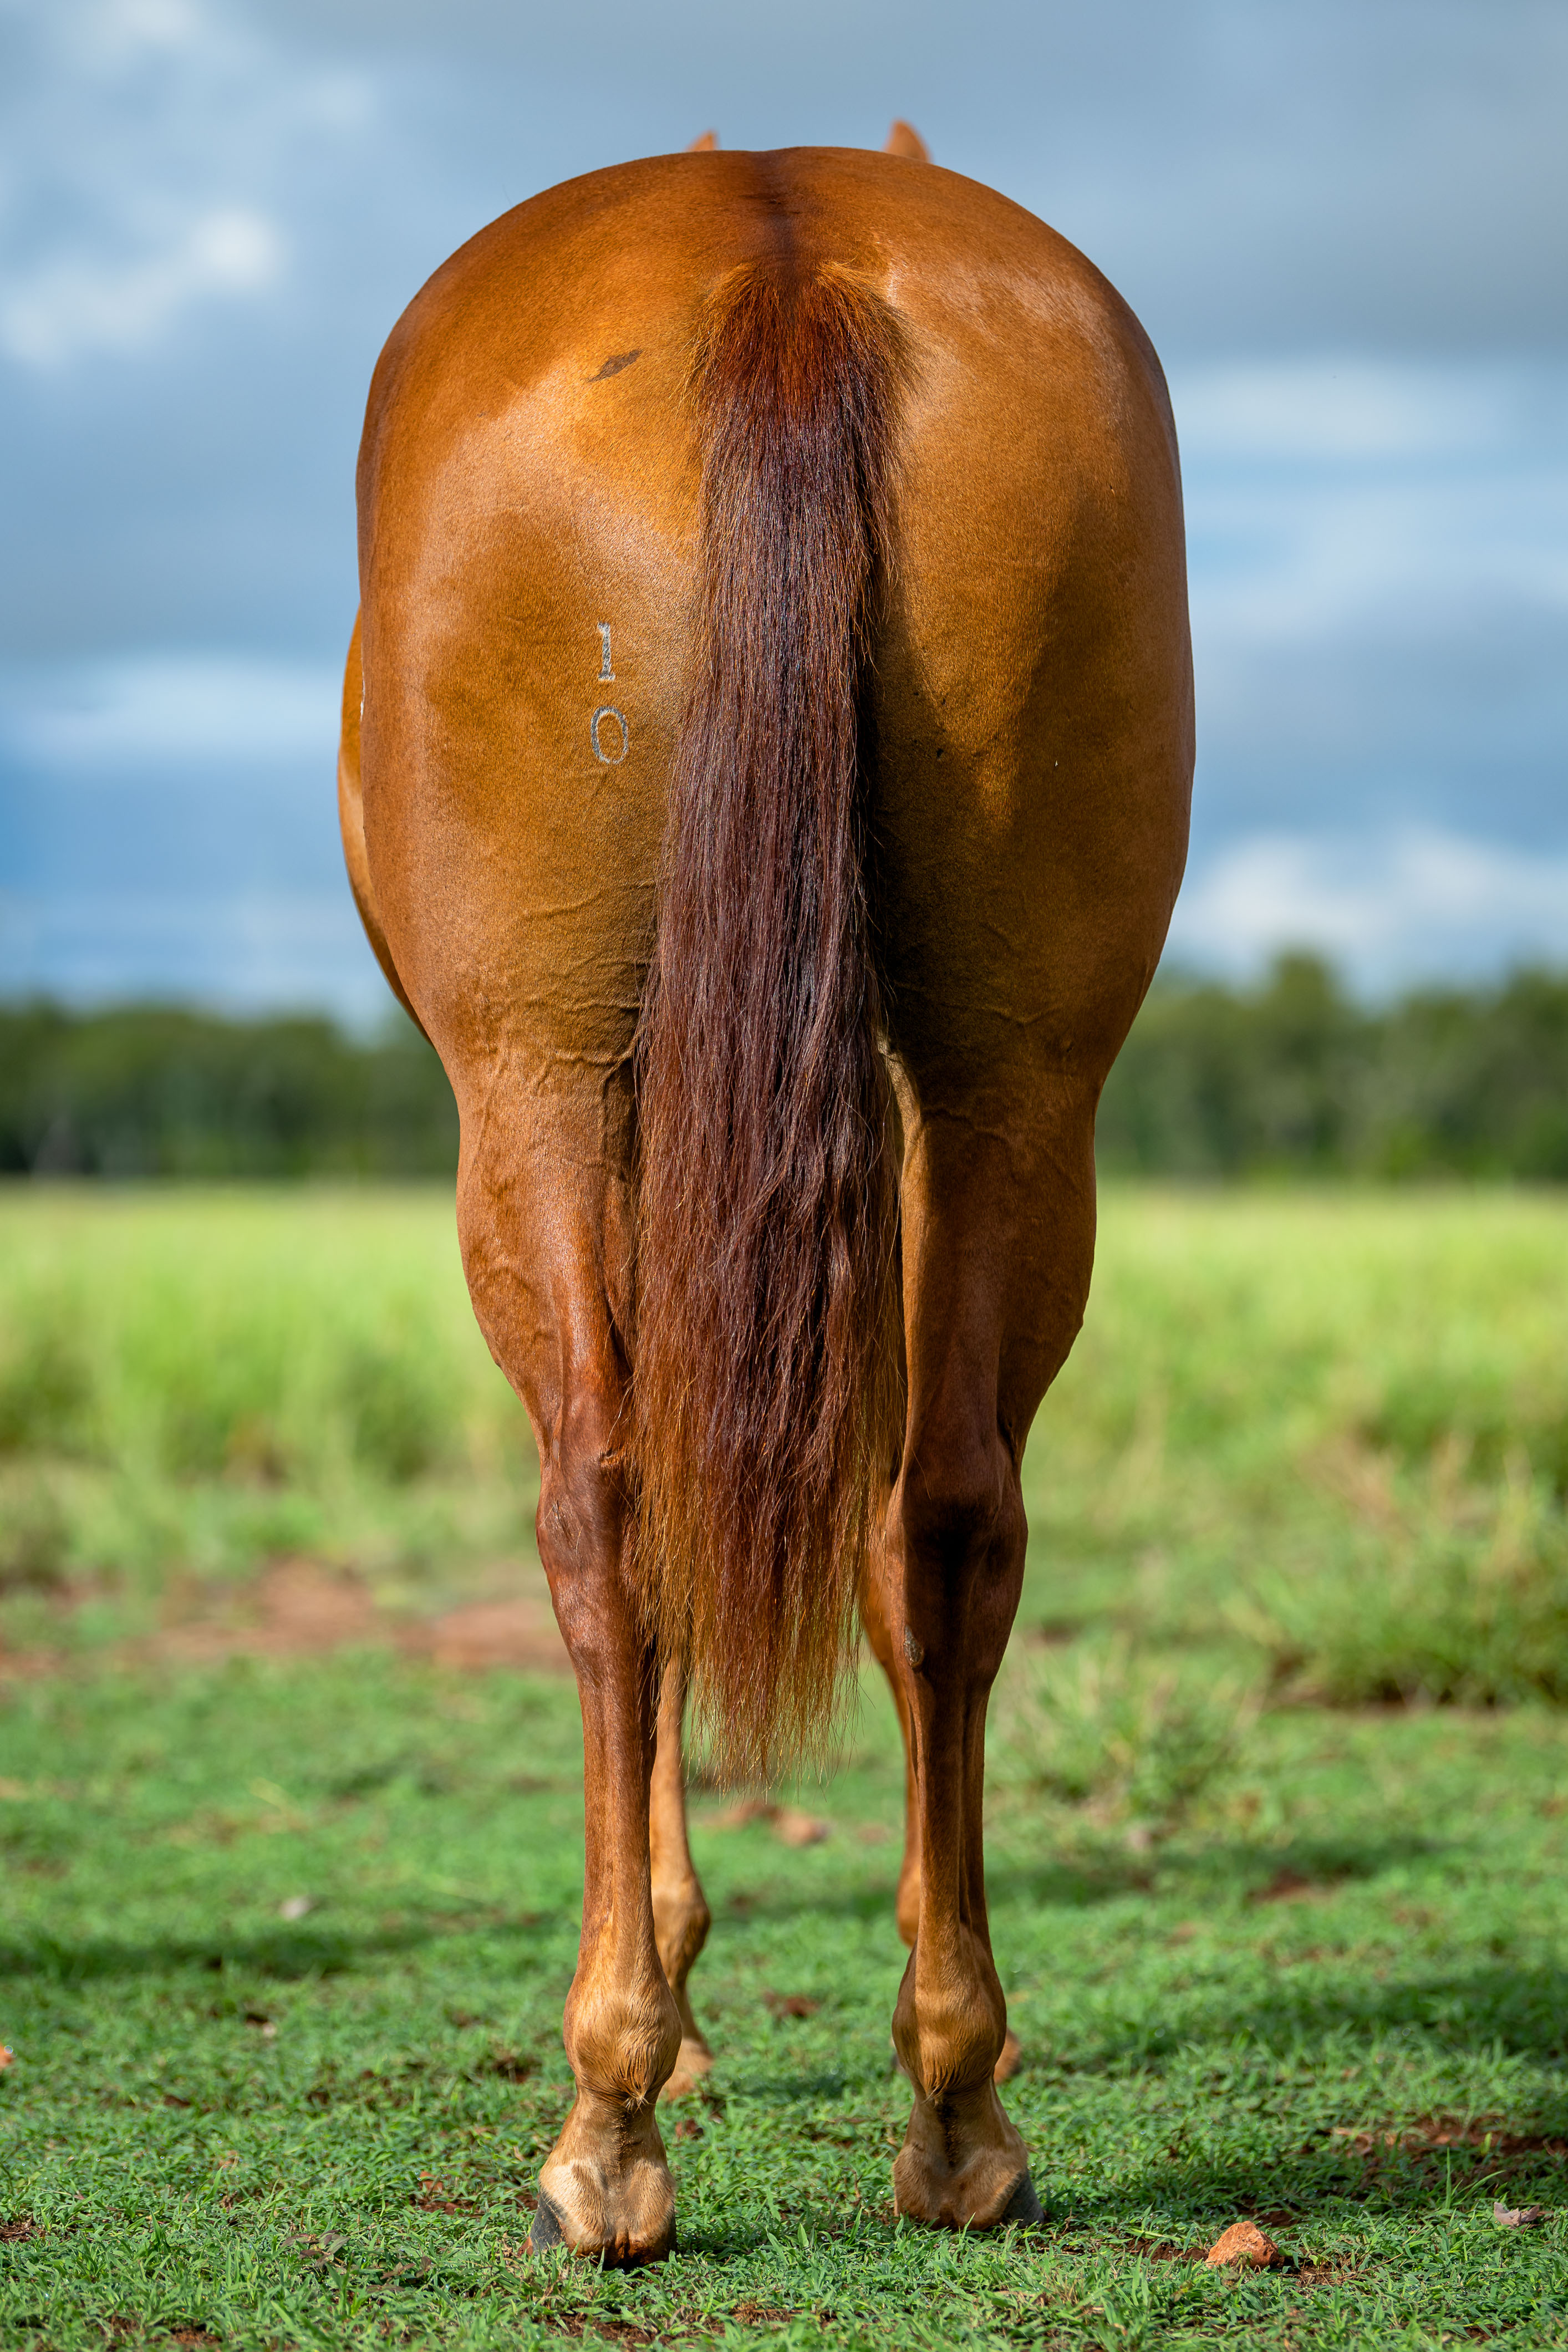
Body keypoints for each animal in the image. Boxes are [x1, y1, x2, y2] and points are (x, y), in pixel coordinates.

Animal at [338, 119, 1192, 2266]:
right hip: (1011, 1085)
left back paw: (606, 2128)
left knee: (607, 1514)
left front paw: (673, 1991)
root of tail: (783, 252)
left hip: (534, 1088)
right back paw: (958, 2107)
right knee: (946, 1514)